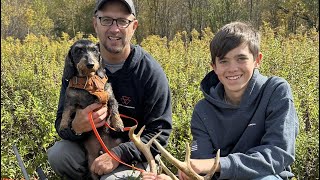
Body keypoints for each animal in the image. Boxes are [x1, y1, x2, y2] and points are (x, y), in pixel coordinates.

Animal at [59, 39, 124, 180]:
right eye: (78, 50)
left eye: (94, 50)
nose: (90, 64)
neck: (89, 81)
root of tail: (102, 149)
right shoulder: (70, 101)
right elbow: (65, 113)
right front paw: (63, 126)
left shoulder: (110, 96)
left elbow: (115, 111)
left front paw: (118, 124)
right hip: (91, 160)